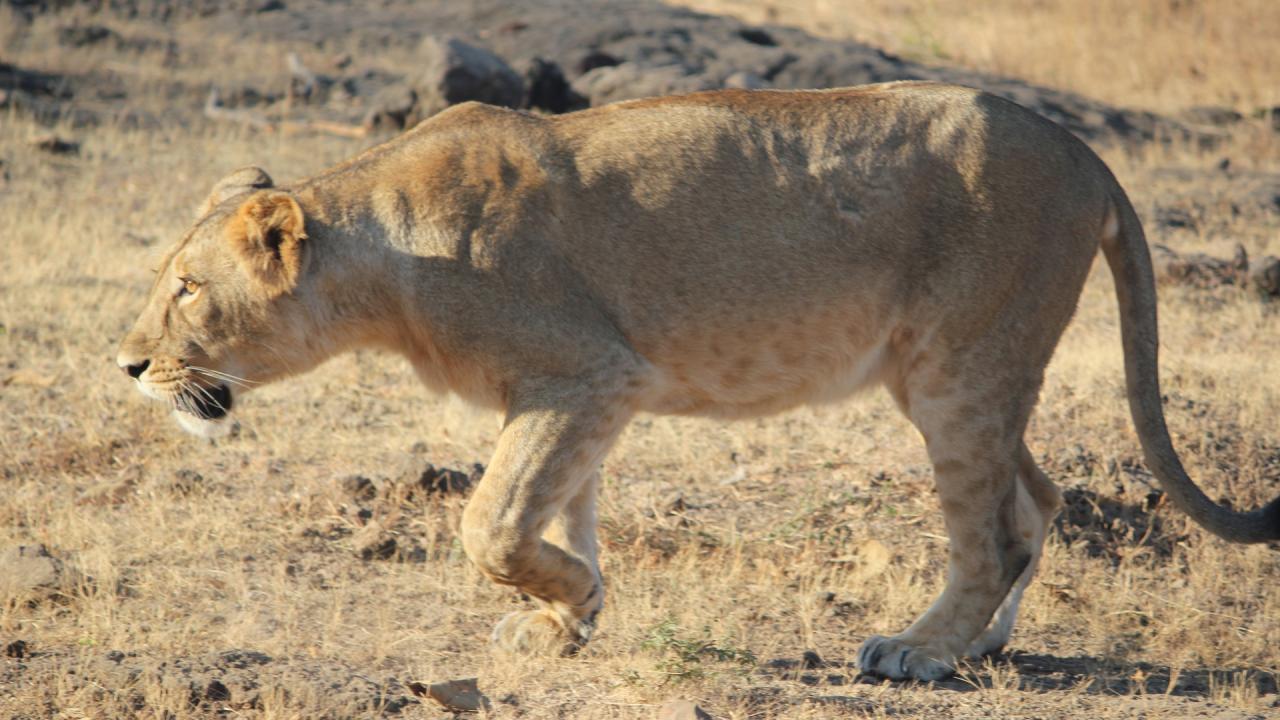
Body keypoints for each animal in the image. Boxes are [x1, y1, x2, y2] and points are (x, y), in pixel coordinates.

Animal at [115, 81, 1274, 676]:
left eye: (186, 289)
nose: (126, 364)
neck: (382, 255)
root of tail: (1083, 150)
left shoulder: (587, 372)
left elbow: (490, 522)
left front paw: (570, 605)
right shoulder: (577, 393)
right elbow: (560, 513)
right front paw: (565, 622)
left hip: (959, 367)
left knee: (988, 531)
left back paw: (916, 652)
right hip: (958, 370)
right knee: (1036, 497)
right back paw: (979, 646)